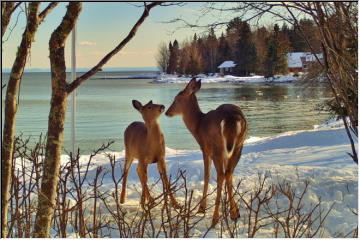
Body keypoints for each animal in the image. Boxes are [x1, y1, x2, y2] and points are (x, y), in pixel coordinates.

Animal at [166, 77, 248, 227]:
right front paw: (234, 209)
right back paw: (233, 214)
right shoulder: (226, 153)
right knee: (228, 173)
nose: (167, 112)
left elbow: (207, 175)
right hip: (238, 146)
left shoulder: (205, 148)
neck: (198, 126)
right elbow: (229, 176)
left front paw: (202, 207)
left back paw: (215, 218)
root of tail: (232, 118)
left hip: (217, 147)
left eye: (177, 98)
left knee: (220, 175)